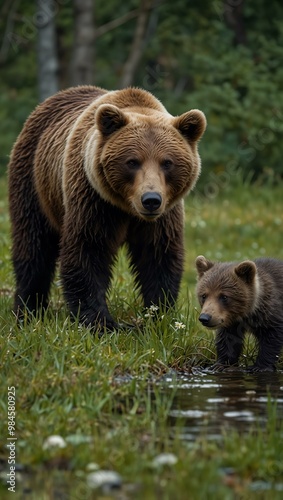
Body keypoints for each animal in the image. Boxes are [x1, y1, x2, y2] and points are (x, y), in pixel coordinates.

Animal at [8, 86, 206, 330]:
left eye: (167, 162)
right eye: (132, 161)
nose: (151, 199)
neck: (127, 209)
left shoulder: (163, 217)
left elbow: (158, 256)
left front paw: (158, 314)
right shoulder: (94, 201)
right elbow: (87, 252)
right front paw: (100, 321)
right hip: (34, 183)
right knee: (33, 247)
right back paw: (28, 310)